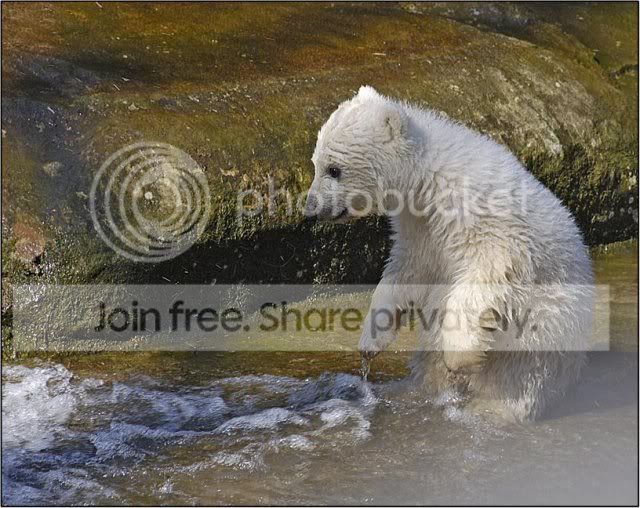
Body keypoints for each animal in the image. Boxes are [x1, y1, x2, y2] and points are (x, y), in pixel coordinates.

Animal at [303, 86, 594, 422]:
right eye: (315, 164)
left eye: (334, 169)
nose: (310, 209)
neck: (428, 178)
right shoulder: (419, 229)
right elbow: (406, 271)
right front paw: (370, 341)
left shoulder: (483, 222)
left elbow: (486, 274)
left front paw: (459, 357)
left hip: (544, 329)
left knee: (521, 377)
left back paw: (491, 407)